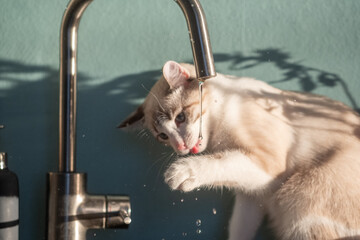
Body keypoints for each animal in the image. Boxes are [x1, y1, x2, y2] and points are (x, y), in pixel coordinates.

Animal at [119, 60, 360, 240]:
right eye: (163, 136)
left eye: (180, 118)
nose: (181, 147)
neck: (219, 138)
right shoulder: (252, 195)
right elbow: (240, 226)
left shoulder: (267, 164)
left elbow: (220, 162)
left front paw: (182, 172)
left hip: (300, 202)